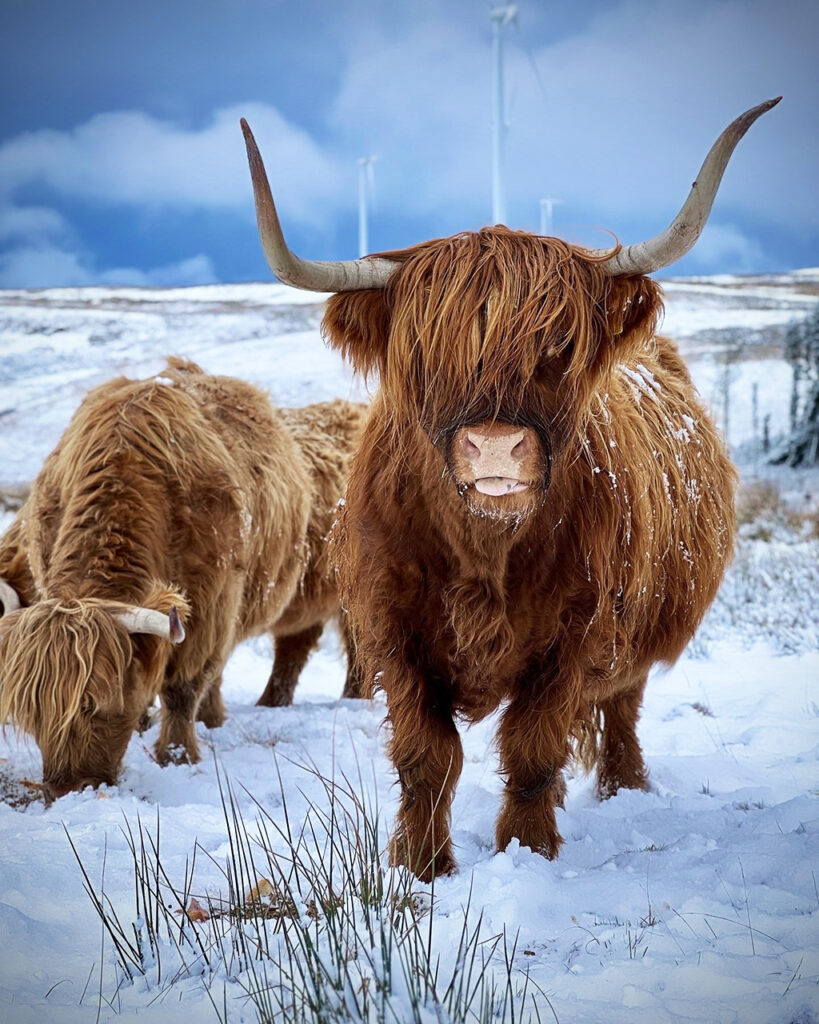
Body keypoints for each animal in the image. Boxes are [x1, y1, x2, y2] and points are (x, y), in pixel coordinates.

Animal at [0, 359, 366, 802]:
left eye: (93, 703)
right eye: (32, 712)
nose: (70, 788)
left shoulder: (211, 606)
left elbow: (183, 687)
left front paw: (176, 756)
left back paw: (350, 700)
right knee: (293, 647)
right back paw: (266, 704)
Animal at [240, 98, 778, 880]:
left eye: (558, 346)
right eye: (423, 354)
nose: (494, 448)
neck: (484, 553)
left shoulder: (574, 635)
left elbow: (531, 749)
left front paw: (527, 852)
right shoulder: (394, 628)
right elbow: (426, 754)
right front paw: (422, 865)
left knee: (623, 704)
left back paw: (624, 787)